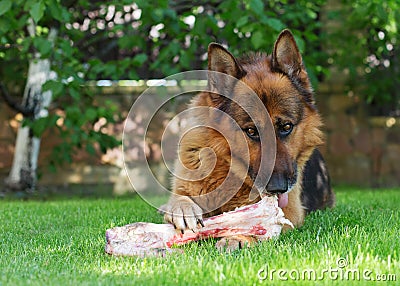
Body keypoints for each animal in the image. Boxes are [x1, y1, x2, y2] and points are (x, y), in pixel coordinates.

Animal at [162, 29, 334, 250]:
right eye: (251, 131)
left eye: (286, 127)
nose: (278, 188)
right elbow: (179, 198)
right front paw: (183, 208)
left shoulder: (290, 213)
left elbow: (263, 222)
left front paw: (239, 237)